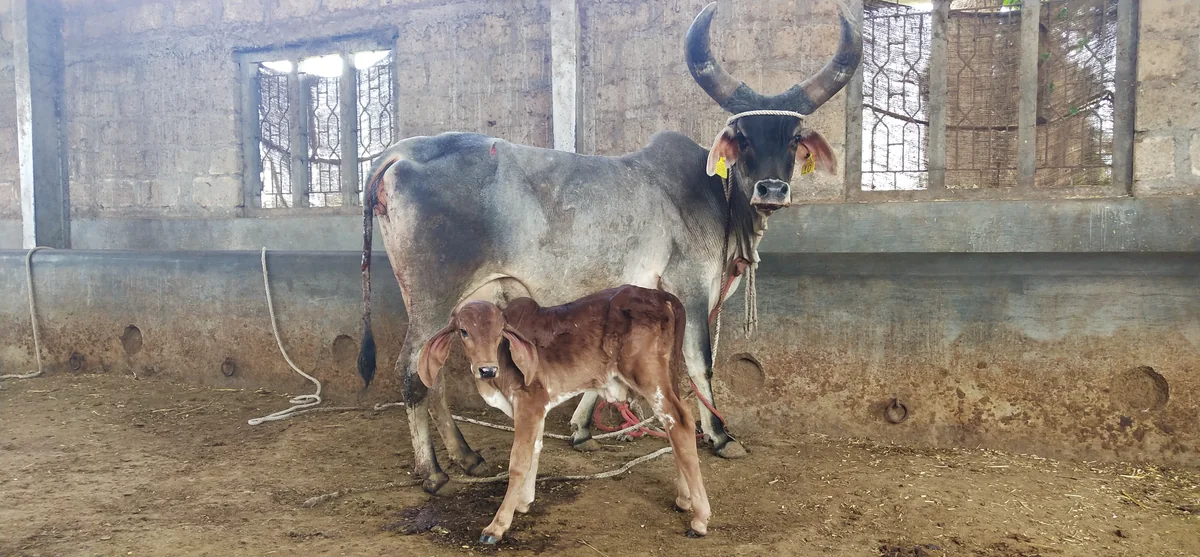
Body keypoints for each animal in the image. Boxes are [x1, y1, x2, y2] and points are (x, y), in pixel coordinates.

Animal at [357, 2, 862, 495]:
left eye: (793, 140)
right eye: (743, 139)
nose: (772, 189)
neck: (717, 197)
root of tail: (401, 151)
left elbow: (603, 368)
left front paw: (582, 430)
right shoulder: (690, 284)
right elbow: (700, 362)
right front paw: (720, 436)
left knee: (433, 370)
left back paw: (466, 456)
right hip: (433, 293)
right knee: (411, 372)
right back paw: (432, 472)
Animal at [416, 286, 710, 543]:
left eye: (500, 332)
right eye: (464, 331)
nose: (487, 369)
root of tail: (662, 296)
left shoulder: (529, 402)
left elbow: (518, 462)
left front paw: (498, 525)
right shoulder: (536, 409)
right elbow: (534, 450)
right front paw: (523, 502)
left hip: (649, 378)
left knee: (681, 422)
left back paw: (700, 519)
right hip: (666, 378)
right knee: (673, 430)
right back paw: (684, 499)